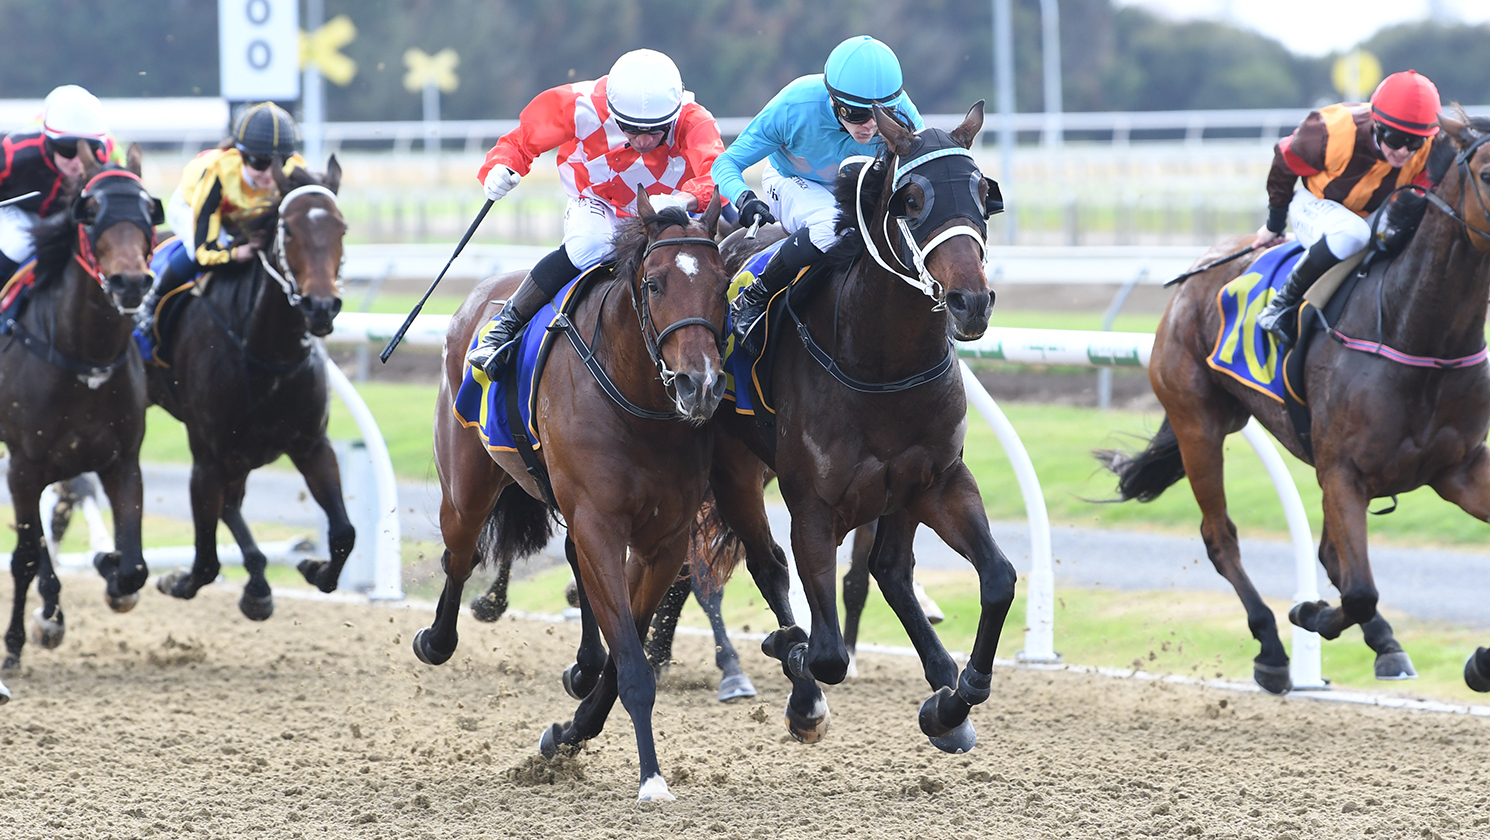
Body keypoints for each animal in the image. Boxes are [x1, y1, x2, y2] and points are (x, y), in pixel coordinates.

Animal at [0, 142, 159, 670]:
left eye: (149, 211)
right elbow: (26, 554)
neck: (86, 360)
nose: (130, 283)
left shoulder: (122, 461)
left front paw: (109, 567)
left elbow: (133, 568)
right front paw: (27, 633)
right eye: (90, 214)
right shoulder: (25, 464)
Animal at [149, 157, 353, 619]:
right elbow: (205, 562)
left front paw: (313, 568)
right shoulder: (207, 457)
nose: (321, 307)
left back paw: (259, 582)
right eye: (288, 229)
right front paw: (176, 579)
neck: (266, 355)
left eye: (342, 228)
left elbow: (343, 533)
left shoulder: (312, 445)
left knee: (233, 504)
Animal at [423, 192, 730, 798]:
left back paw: (582, 666)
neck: (639, 407)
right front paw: (651, 778)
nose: (700, 384)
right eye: (654, 283)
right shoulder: (599, 522)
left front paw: (570, 731)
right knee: (460, 553)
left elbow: (627, 646)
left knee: (563, 559)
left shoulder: (663, 540)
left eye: (721, 279)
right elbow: (632, 664)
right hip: (467, 484)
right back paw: (437, 639)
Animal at [706, 102, 1019, 750]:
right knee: (769, 567)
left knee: (890, 572)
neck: (880, 362)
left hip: (896, 494)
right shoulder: (813, 502)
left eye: (983, 193)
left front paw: (954, 702)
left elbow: (998, 579)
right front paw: (793, 657)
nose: (970, 303)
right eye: (912, 199)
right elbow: (826, 653)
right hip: (733, 468)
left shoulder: (937, 480)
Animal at [1096, 118, 1490, 697]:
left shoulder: (1457, 468)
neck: (1415, 329)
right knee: (1221, 538)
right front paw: (1309, 613)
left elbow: (1349, 575)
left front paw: (1480, 660)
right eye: (1486, 173)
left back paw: (1383, 644)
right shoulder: (1345, 470)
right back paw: (1272, 648)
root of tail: (1194, 273)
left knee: (1327, 555)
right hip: (1199, 424)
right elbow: (1357, 591)